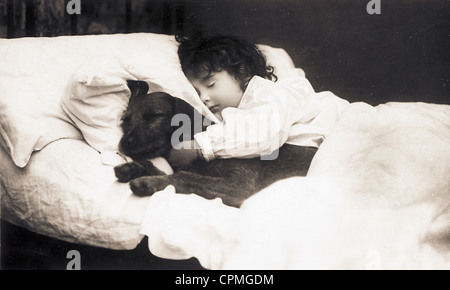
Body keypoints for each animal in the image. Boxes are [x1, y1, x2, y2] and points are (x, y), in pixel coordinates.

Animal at [114, 80, 318, 207]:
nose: (124, 143)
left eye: (154, 116)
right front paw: (133, 168)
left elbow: (184, 177)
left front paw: (148, 182)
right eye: (125, 120)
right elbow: (165, 171)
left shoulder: (241, 186)